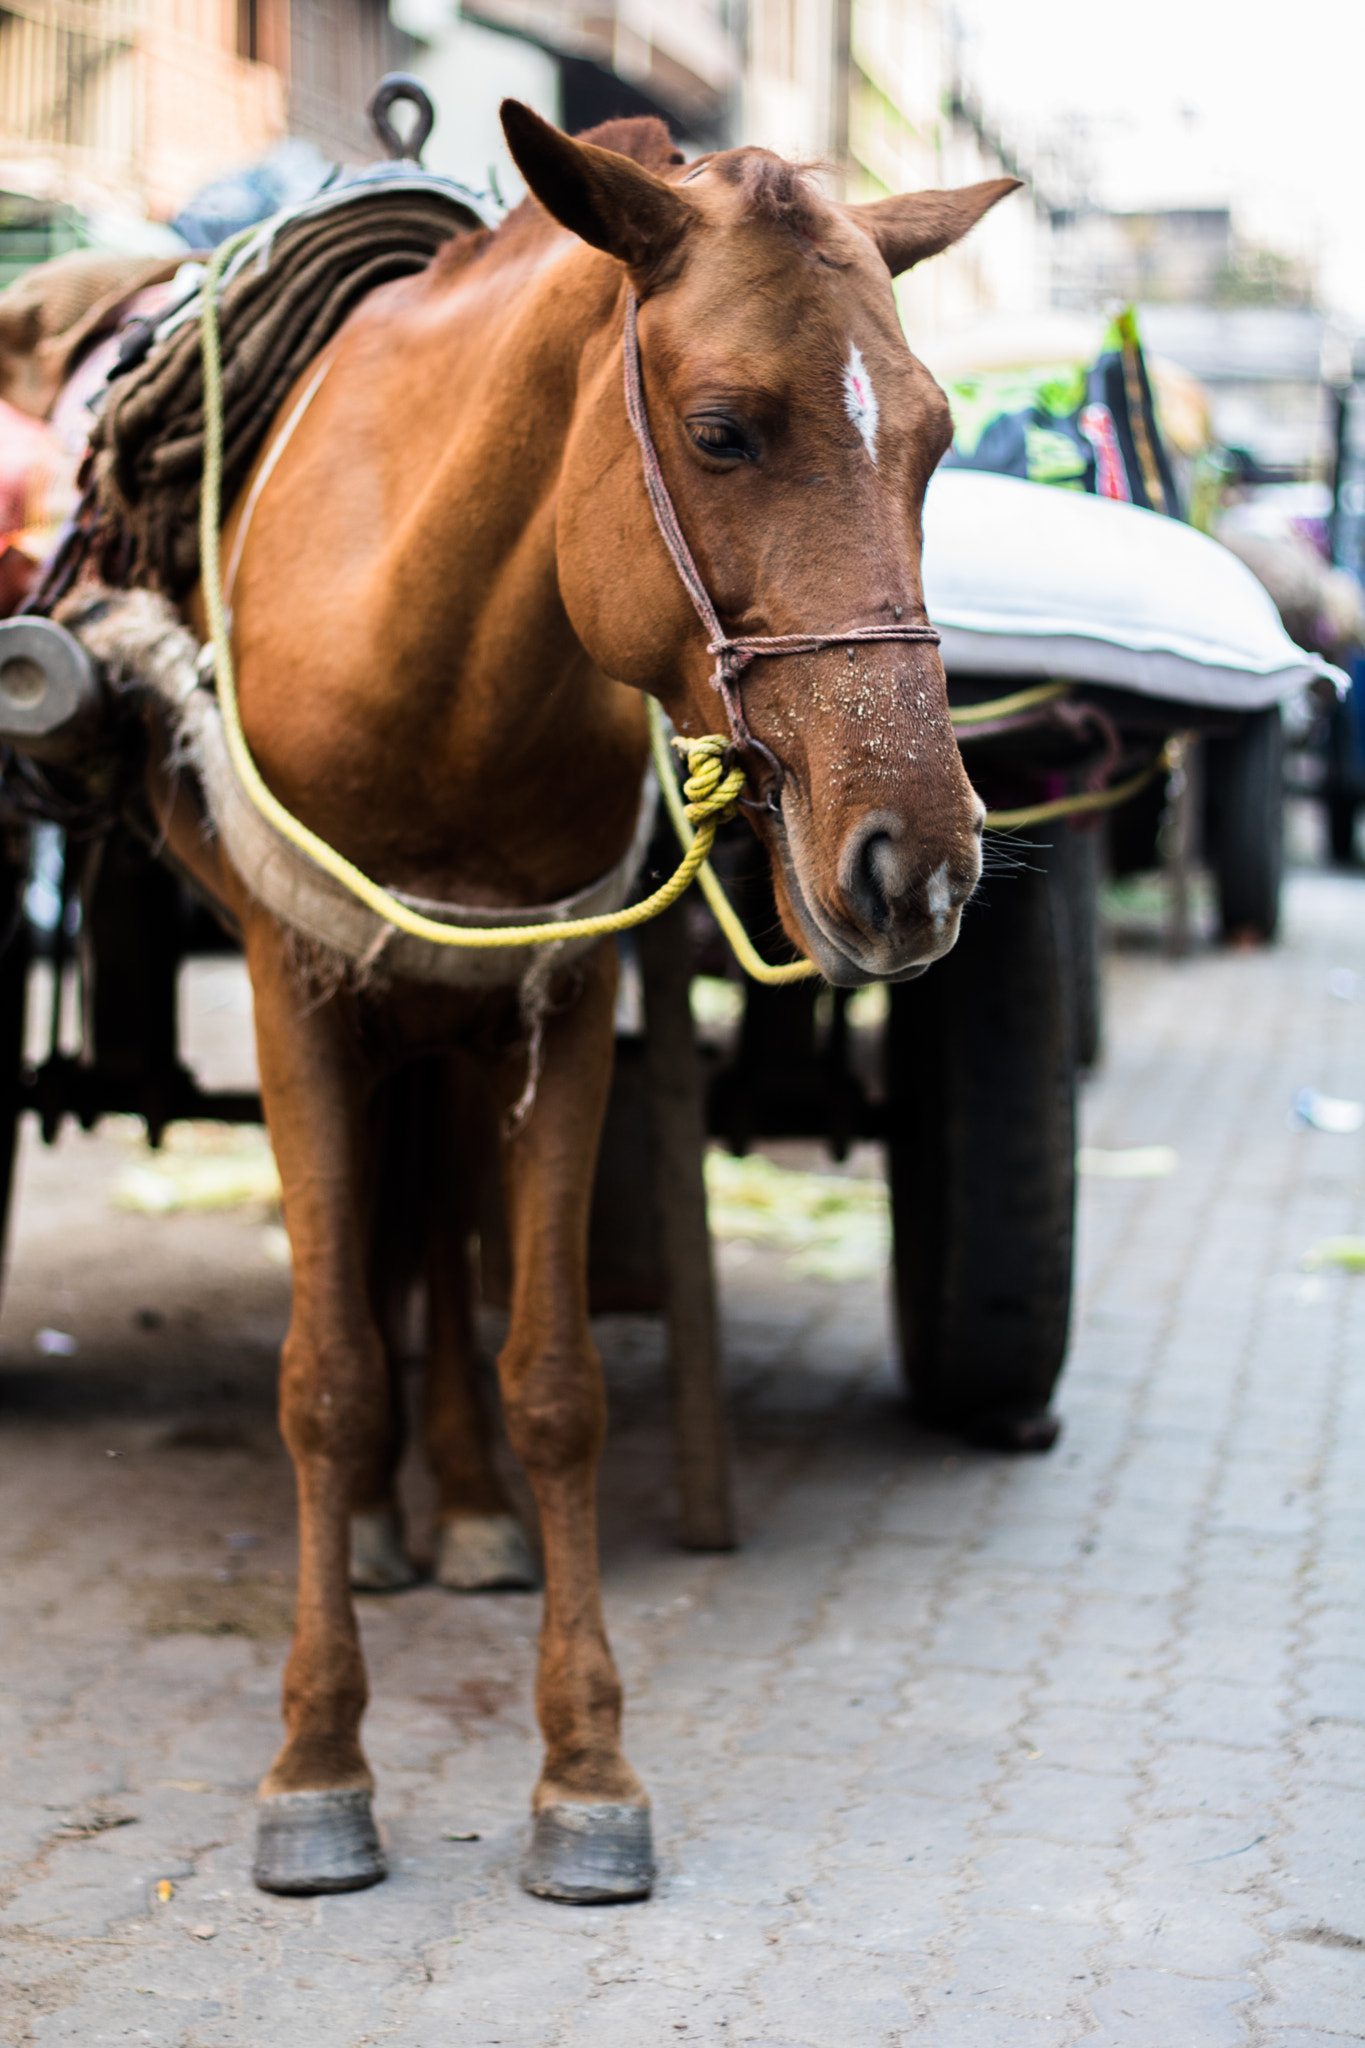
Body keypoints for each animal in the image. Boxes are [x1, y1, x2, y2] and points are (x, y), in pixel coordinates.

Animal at [141, 108, 1015, 1900]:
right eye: (723, 430)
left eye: (937, 442)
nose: (922, 863)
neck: (429, 644)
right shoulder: (296, 991)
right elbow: (323, 1375)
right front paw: (317, 1764)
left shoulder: (560, 993)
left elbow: (556, 1382)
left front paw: (587, 1769)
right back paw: (393, 1520)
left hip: (456, 1022)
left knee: (437, 1231)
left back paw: (457, 1510)